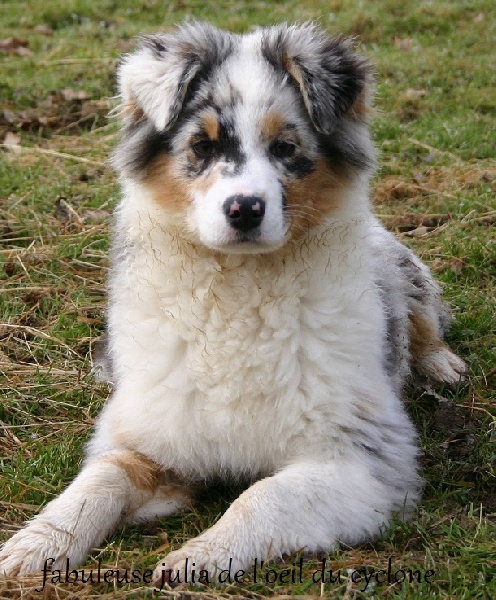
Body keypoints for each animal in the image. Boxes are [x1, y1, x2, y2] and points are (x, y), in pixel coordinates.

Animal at [0, 22, 466, 580]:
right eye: (201, 146)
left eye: (286, 147)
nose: (244, 209)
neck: (239, 295)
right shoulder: (150, 442)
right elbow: (97, 482)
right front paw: (35, 545)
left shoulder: (362, 458)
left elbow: (264, 496)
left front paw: (198, 556)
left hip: (399, 263)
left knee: (425, 319)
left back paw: (441, 364)